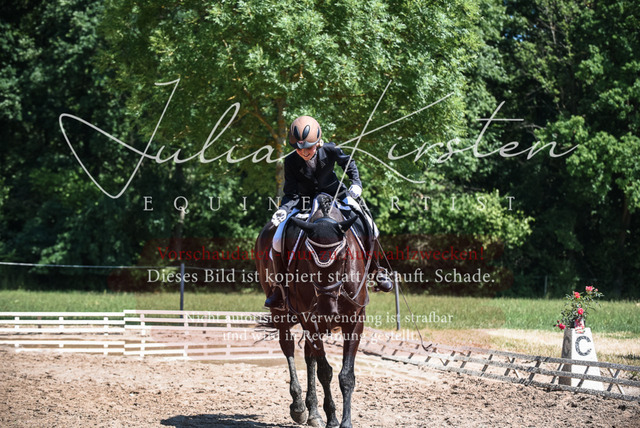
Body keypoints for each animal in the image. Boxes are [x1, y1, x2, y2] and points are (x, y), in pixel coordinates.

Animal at [255, 194, 371, 428]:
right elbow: (325, 372)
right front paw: (333, 418)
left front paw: (344, 421)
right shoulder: (310, 319)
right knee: (288, 348)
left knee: (309, 357)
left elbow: (346, 375)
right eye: (308, 257)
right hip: (281, 312)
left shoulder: (354, 321)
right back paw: (299, 406)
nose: (327, 309)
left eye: (343, 256)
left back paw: (313, 412)